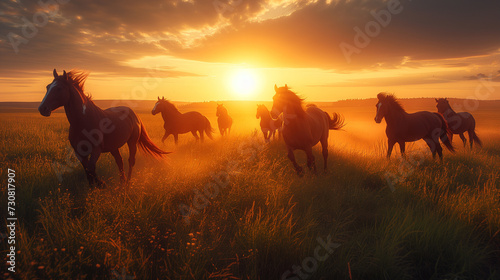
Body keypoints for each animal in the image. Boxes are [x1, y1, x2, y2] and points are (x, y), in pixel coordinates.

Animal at [37, 69, 170, 187]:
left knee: (130, 161)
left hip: (132, 142)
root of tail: (134, 114)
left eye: (59, 88)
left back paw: (127, 183)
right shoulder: (79, 152)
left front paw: (101, 184)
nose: (42, 108)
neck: (83, 121)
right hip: (114, 147)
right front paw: (93, 189)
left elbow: (91, 168)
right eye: (48, 87)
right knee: (119, 161)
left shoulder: (96, 150)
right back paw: (122, 182)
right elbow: (87, 170)